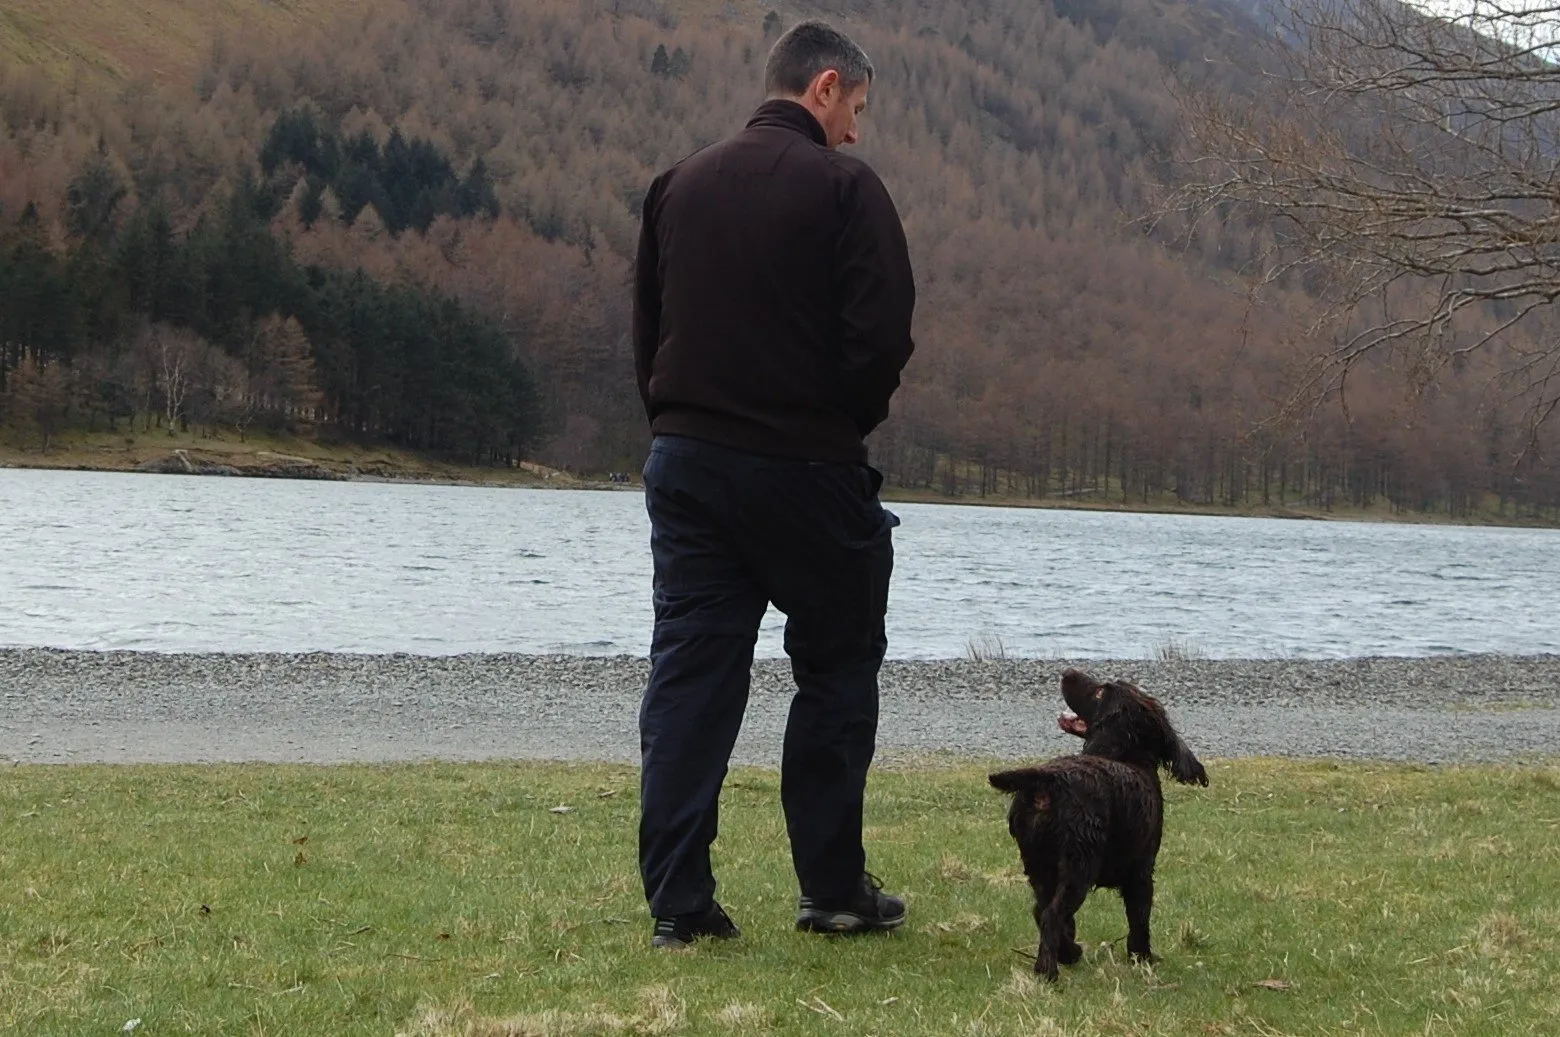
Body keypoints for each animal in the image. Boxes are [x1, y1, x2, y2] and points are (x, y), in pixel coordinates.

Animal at [985, 670, 1204, 979]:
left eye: (1100, 692)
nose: (1067, 672)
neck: (1120, 755)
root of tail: (1048, 780)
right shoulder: (1142, 873)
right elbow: (1139, 920)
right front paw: (1143, 958)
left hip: (1038, 865)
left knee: (1041, 911)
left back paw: (1068, 953)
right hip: (1079, 867)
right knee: (1052, 914)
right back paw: (1048, 971)